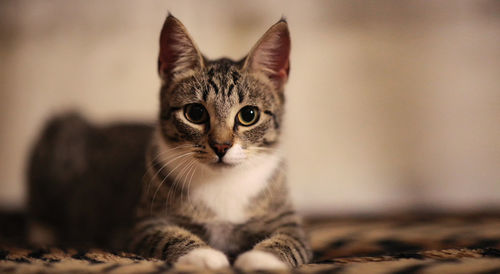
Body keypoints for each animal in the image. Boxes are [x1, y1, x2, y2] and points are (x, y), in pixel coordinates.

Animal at [27, 13, 310, 270]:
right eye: (195, 113)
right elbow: (167, 235)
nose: (221, 146)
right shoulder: (143, 224)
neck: (221, 183)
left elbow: (290, 241)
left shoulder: (289, 223)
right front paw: (203, 255)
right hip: (62, 129)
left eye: (249, 115)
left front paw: (262, 259)